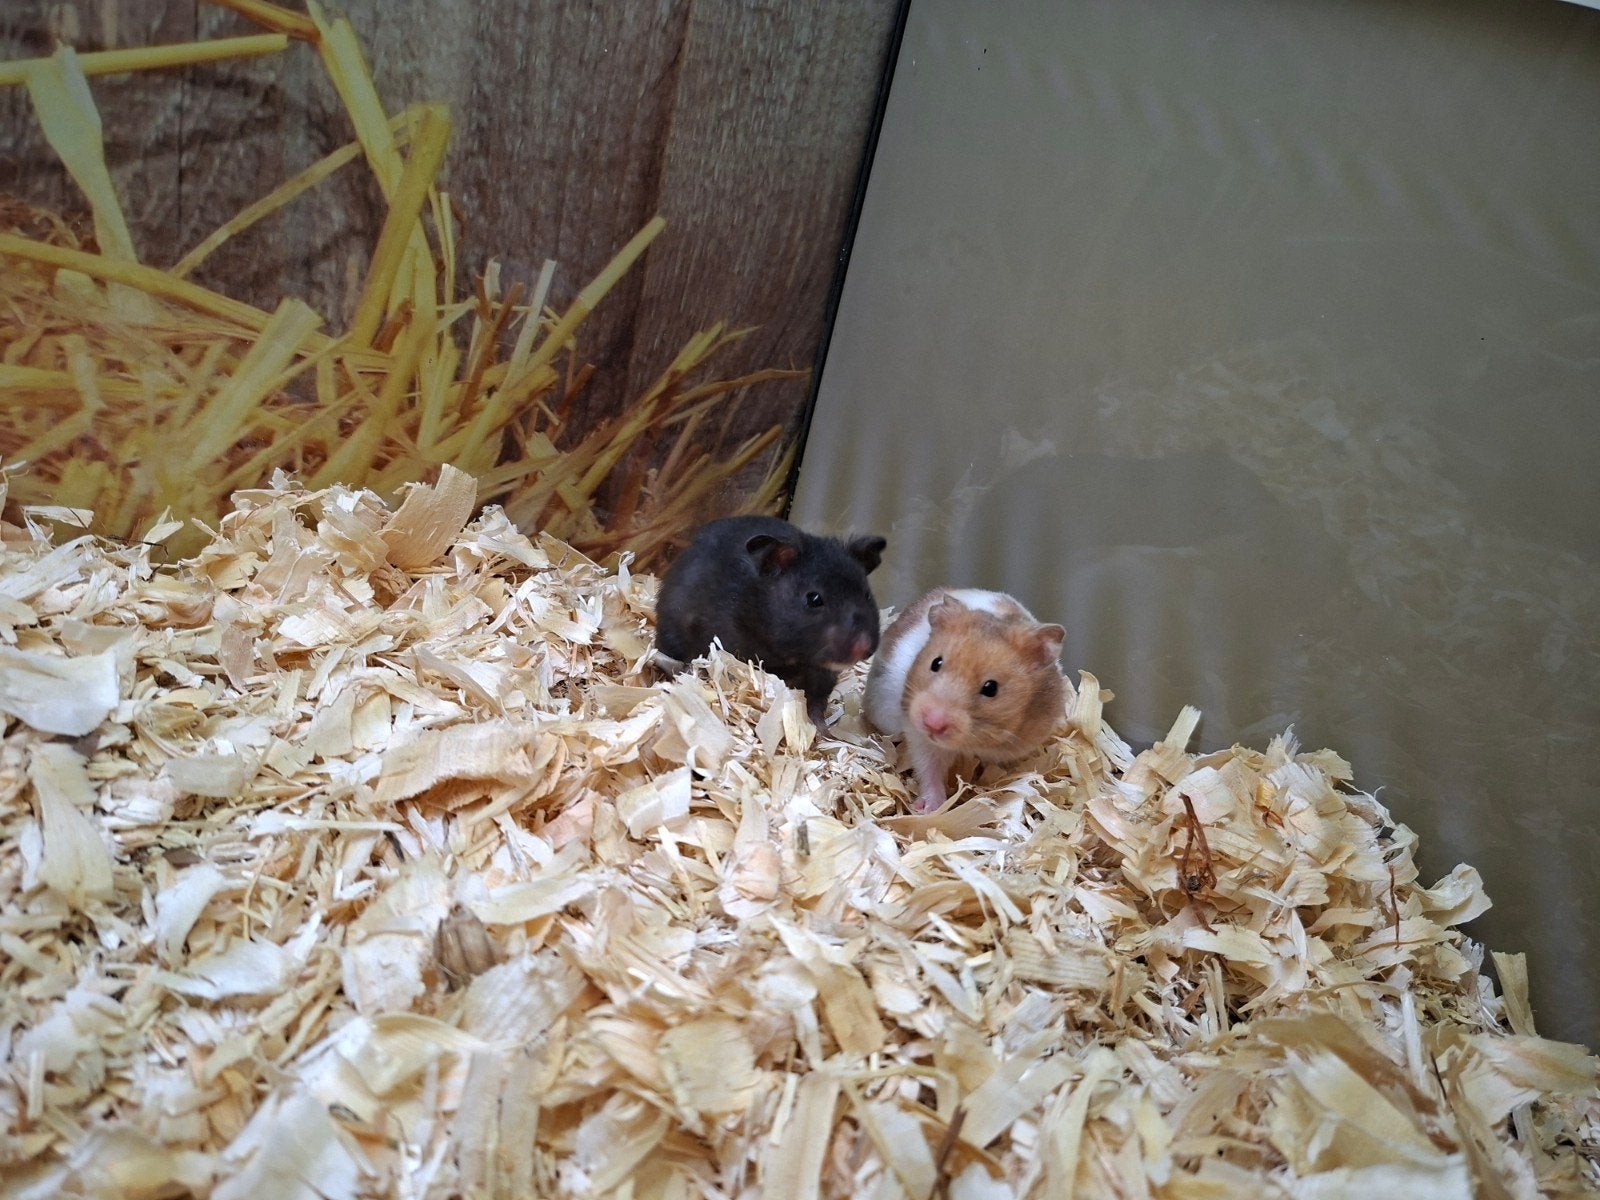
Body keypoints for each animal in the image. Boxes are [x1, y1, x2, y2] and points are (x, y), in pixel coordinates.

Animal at [655, 515, 888, 726]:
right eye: (814, 599)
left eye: (867, 595)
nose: (863, 648)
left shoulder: (822, 675)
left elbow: (816, 702)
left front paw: (820, 730)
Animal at [864, 588, 1065, 813]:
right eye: (936, 663)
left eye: (991, 688)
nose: (933, 723)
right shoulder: (920, 737)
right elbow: (929, 769)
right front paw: (927, 808)